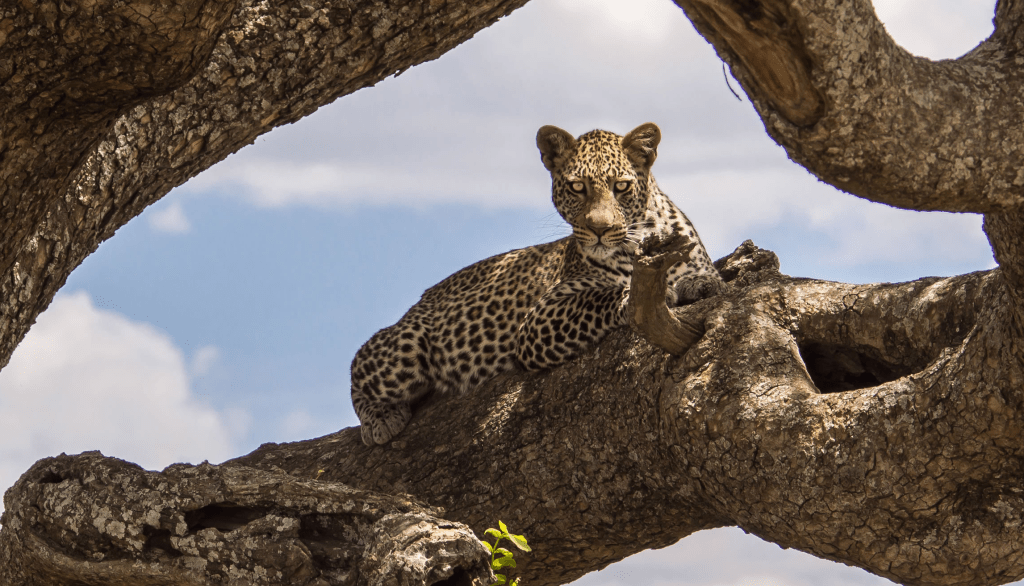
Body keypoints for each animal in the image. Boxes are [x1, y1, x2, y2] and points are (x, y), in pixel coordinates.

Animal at [351, 122, 725, 446]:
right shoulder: (538, 321)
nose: (600, 229)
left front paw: (699, 283)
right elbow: (600, 296)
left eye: (621, 186)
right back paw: (379, 420)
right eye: (577, 187)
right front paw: (636, 296)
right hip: (406, 344)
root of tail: (417, 304)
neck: (641, 241)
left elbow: (705, 276)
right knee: (358, 364)